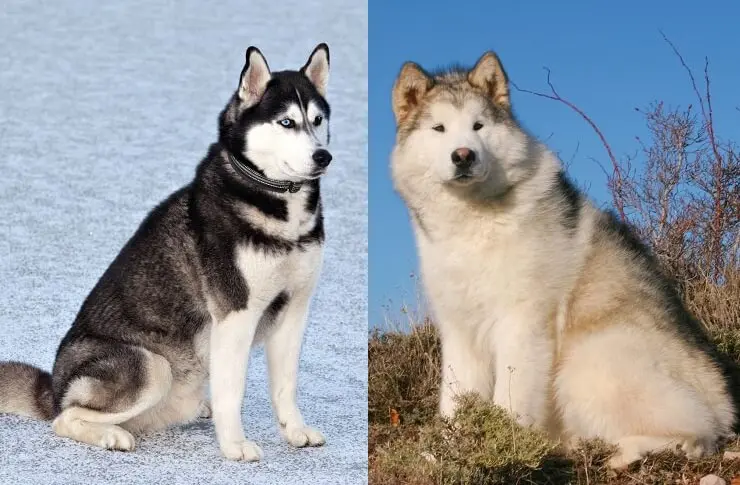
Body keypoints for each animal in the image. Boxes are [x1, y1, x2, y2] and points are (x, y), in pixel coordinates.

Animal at [0, 43, 330, 460]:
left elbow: (286, 385)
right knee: (64, 418)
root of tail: (53, 388)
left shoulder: (295, 309)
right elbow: (233, 391)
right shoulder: (235, 315)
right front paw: (234, 445)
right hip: (152, 366)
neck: (281, 211)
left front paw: (295, 431)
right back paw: (111, 435)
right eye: (286, 122)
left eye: (318, 120)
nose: (323, 156)